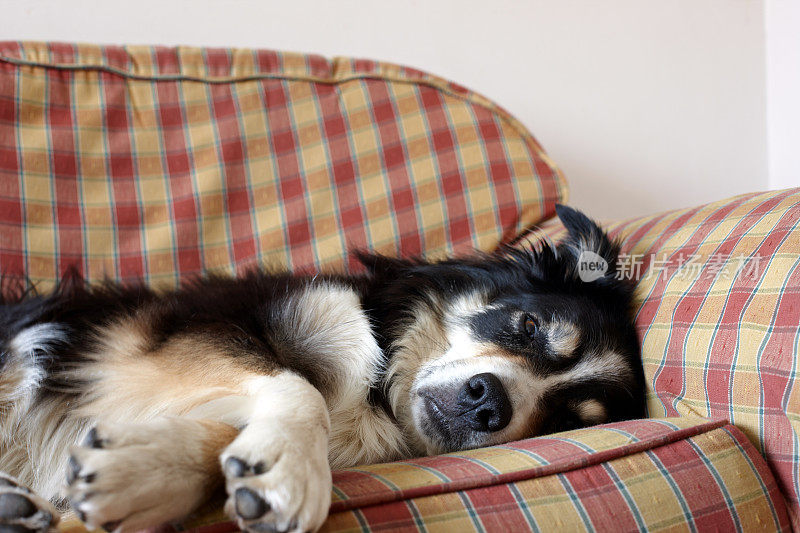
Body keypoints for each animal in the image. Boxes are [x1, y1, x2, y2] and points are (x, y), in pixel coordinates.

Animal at [0, 206, 644, 532]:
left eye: (564, 418)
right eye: (528, 327)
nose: (489, 402)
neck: (378, 394)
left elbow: (230, 432)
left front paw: (145, 474)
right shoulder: (184, 333)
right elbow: (298, 384)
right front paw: (291, 471)